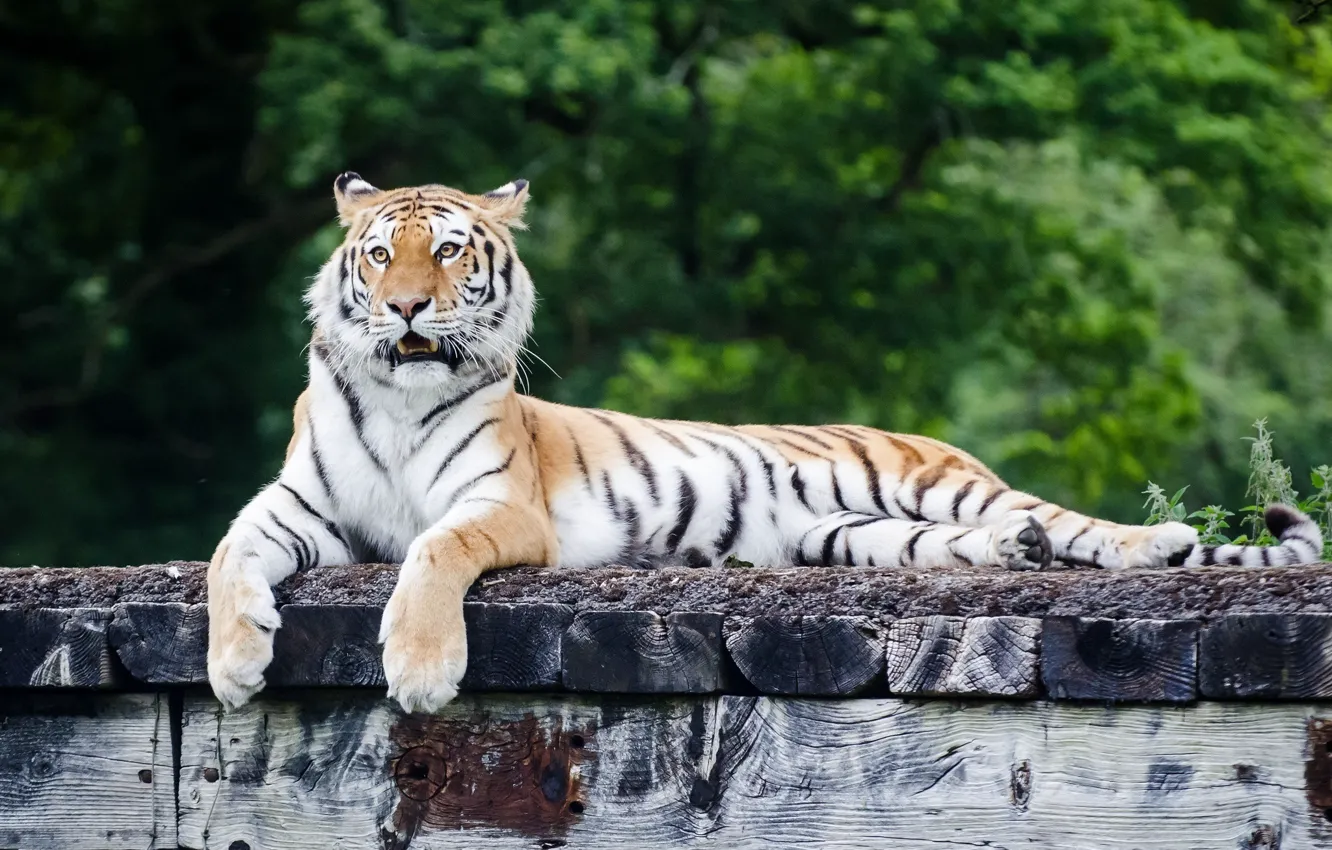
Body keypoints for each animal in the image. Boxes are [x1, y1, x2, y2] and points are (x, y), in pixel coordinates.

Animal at [206, 172, 1325, 713]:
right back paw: (1019, 556)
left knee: (1081, 526)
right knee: (993, 542)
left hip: (943, 487)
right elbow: (224, 560)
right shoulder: (294, 508)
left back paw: (1151, 545)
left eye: (445, 251)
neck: (399, 400)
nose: (404, 307)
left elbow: (434, 553)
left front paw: (421, 671)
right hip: (849, 536)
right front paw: (234, 666)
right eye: (377, 254)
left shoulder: (497, 507)